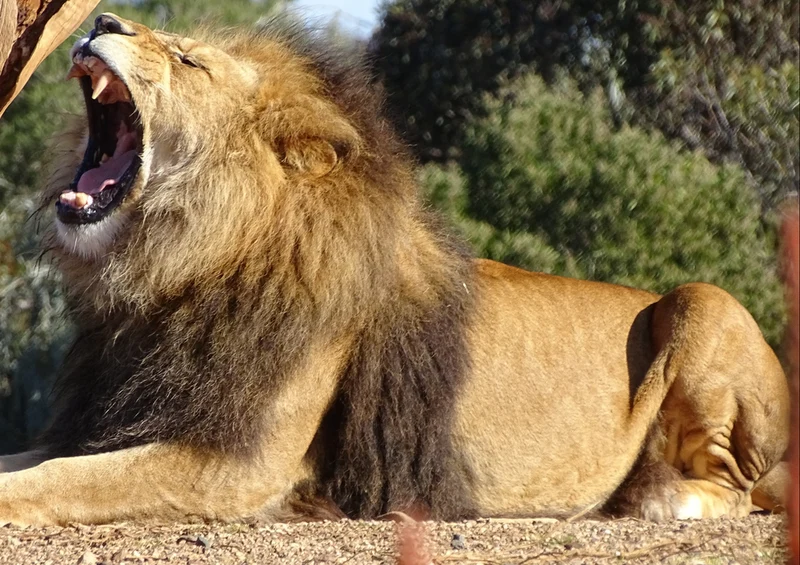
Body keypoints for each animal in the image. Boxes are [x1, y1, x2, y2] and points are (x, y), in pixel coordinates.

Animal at [0, 14, 790, 526]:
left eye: (190, 60)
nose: (103, 17)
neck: (171, 274)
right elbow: (31, 458)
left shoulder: (236, 463)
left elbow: (64, 479)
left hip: (703, 301)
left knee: (739, 486)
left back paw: (663, 497)